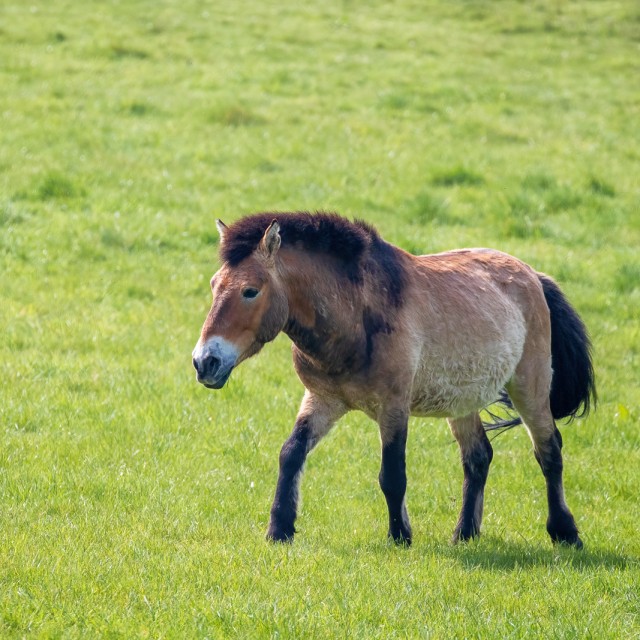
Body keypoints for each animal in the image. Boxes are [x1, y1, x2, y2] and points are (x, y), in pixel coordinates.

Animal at [192, 212, 596, 547]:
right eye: (213, 285)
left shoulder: (393, 407)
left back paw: (565, 533)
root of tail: (533, 275)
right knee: (478, 457)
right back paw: (465, 533)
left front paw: (400, 536)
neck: (355, 315)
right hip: (462, 402)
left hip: (530, 386)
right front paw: (280, 529)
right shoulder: (323, 400)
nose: (204, 362)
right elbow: (291, 454)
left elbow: (392, 474)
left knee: (549, 451)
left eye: (250, 291)